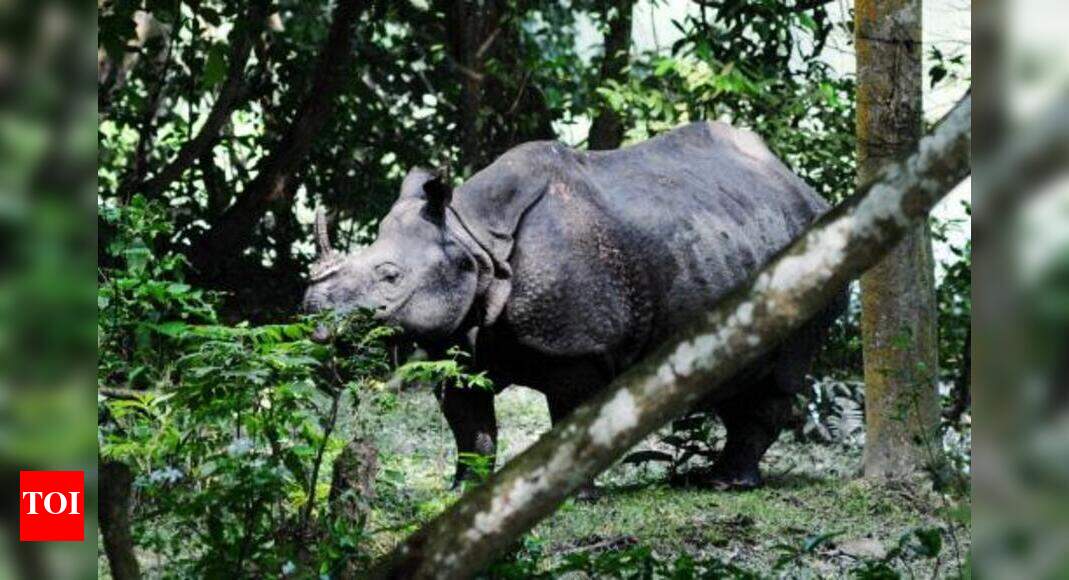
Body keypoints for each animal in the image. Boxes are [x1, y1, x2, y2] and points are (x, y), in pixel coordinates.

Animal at [303, 122, 847, 490]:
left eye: (389, 276)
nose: (314, 319)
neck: (471, 241)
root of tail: (803, 188)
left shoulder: (577, 346)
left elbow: (570, 416)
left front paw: (576, 494)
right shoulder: (459, 343)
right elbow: (469, 426)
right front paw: (464, 492)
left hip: (814, 250)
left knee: (779, 373)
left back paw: (726, 484)